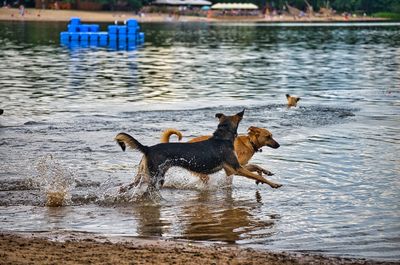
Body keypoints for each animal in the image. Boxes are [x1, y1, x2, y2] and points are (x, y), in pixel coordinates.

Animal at [114, 109, 280, 190]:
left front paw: (266, 173)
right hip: (155, 176)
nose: (278, 145)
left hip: (143, 175)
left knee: (128, 186)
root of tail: (147, 148)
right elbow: (257, 175)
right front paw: (273, 183)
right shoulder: (235, 168)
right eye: (269, 136)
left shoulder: (235, 168)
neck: (221, 138)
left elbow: (257, 169)